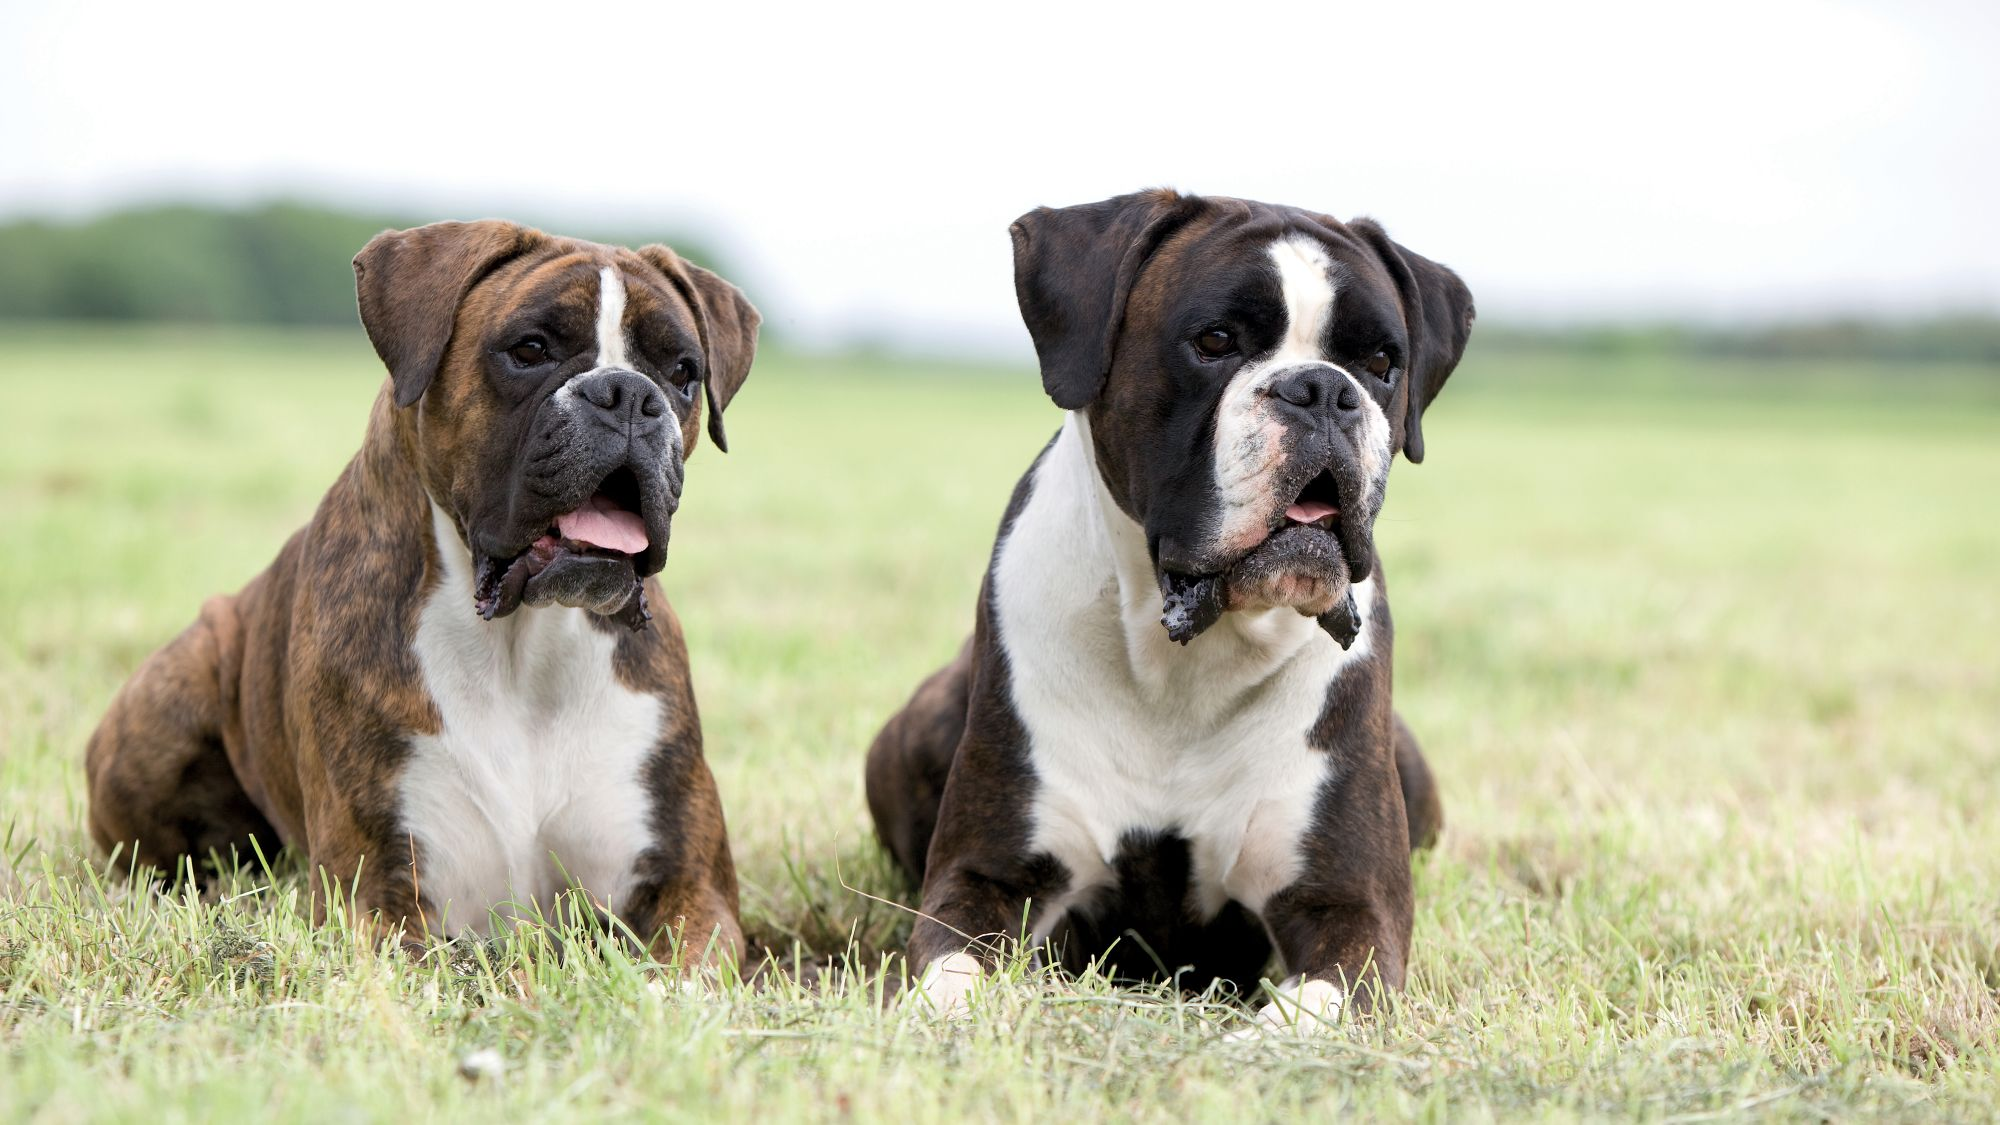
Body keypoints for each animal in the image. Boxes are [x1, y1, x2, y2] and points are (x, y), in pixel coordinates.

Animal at [86, 221, 760, 964]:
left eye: (682, 372)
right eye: (530, 349)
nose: (628, 395)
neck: (523, 644)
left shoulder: (691, 892)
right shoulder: (377, 903)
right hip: (169, 704)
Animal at [868, 188, 1480, 1032]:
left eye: (1382, 364)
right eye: (1214, 341)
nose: (1323, 389)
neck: (1189, 662)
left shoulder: (1350, 907)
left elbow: (1311, 1010)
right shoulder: (986, 877)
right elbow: (947, 973)